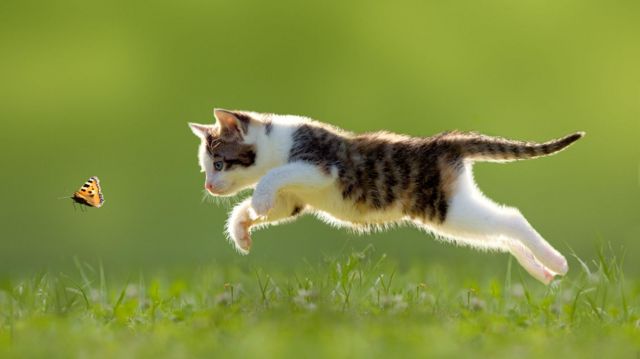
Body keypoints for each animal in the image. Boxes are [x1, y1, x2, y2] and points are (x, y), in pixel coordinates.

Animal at [188, 108, 584, 286]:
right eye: (206, 168)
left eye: (219, 164)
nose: (208, 186)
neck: (276, 144)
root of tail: (443, 142)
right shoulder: (293, 200)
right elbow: (267, 205)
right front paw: (241, 229)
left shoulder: (320, 166)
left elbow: (273, 177)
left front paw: (257, 201)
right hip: (455, 215)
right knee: (501, 235)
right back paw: (542, 271)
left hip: (448, 209)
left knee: (511, 218)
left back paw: (557, 262)